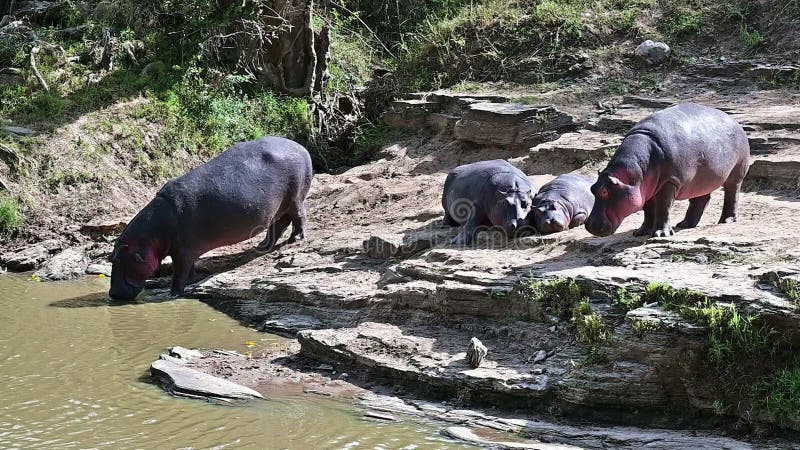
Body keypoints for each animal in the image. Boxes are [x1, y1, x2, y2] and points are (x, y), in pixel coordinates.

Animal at [108, 135, 312, 300]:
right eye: (111, 258)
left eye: (119, 260)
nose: (112, 294)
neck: (151, 236)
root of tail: (302, 148)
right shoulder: (185, 250)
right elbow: (189, 270)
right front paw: (192, 280)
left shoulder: (183, 252)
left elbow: (179, 274)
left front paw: (173, 294)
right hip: (278, 208)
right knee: (279, 224)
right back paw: (262, 246)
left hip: (295, 198)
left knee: (299, 216)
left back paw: (296, 239)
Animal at [580, 103, 752, 237]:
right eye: (592, 188)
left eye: (604, 191)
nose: (588, 226)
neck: (629, 176)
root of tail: (734, 121)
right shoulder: (646, 189)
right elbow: (648, 210)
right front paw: (641, 232)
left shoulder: (670, 181)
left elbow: (664, 207)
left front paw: (660, 234)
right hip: (699, 180)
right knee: (700, 199)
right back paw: (684, 224)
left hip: (736, 173)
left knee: (732, 194)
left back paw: (726, 220)